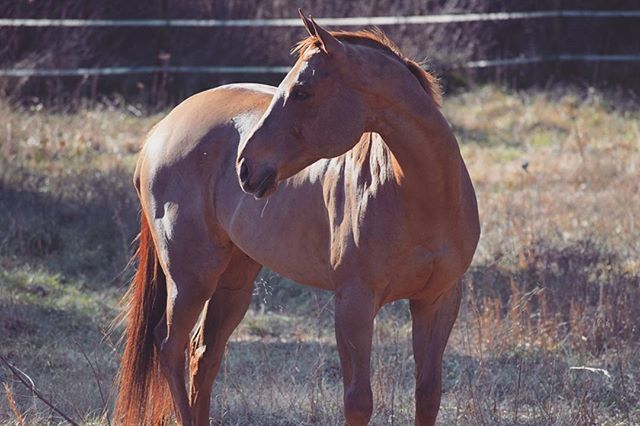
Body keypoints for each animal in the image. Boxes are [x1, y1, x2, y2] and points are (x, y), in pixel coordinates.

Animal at [115, 10, 480, 426]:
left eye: (302, 92)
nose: (245, 166)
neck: (424, 200)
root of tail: (161, 131)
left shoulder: (437, 301)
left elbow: (428, 394)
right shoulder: (354, 303)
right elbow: (358, 400)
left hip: (234, 281)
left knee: (203, 354)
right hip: (191, 278)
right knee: (170, 346)